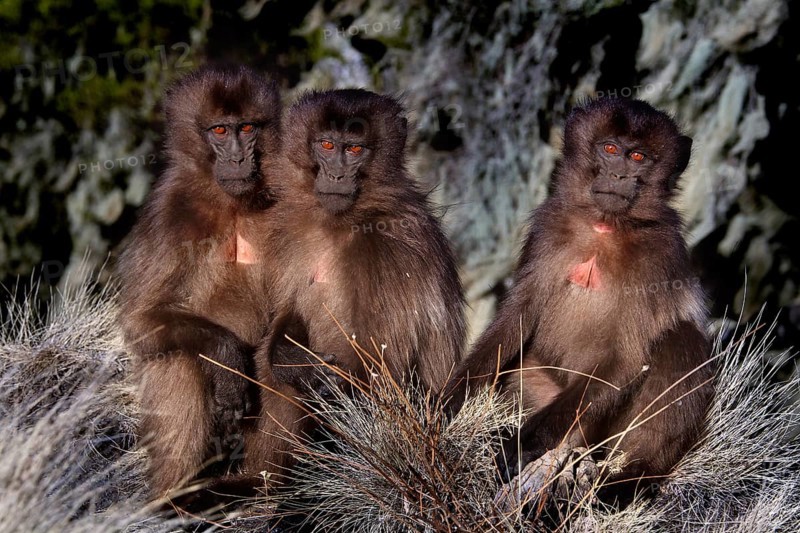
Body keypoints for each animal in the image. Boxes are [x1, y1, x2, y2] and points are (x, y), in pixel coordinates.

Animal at [117, 65, 329, 500]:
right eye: (218, 131)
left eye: (247, 127)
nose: (237, 158)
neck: (232, 204)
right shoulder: (169, 214)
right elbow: (140, 320)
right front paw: (227, 359)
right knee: (178, 357)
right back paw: (175, 497)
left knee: (270, 358)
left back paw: (262, 485)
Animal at [443, 97, 714, 503]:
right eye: (611, 149)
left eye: (638, 156)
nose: (618, 176)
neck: (606, 225)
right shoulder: (548, 228)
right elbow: (515, 321)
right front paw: (448, 401)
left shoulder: (660, 257)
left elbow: (627, 358)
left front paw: (522, 446)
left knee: (682, 339)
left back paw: (631, 479)